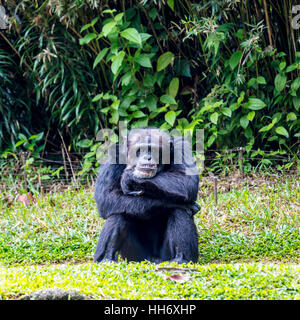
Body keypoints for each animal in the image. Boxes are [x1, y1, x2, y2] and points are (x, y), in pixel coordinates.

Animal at [94, 129, 199, 264]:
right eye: (140, 150)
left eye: (153, 150)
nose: (147, 157)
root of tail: (152, 260)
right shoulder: (114, 155)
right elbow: (105, 197)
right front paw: (173, 202)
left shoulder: (181, 147)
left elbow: (187, 181)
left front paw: (129, 177)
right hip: (135, 257)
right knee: (118, 212)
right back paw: (105, 258)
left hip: (164, 256)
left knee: (179, 212)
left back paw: (182, 259)